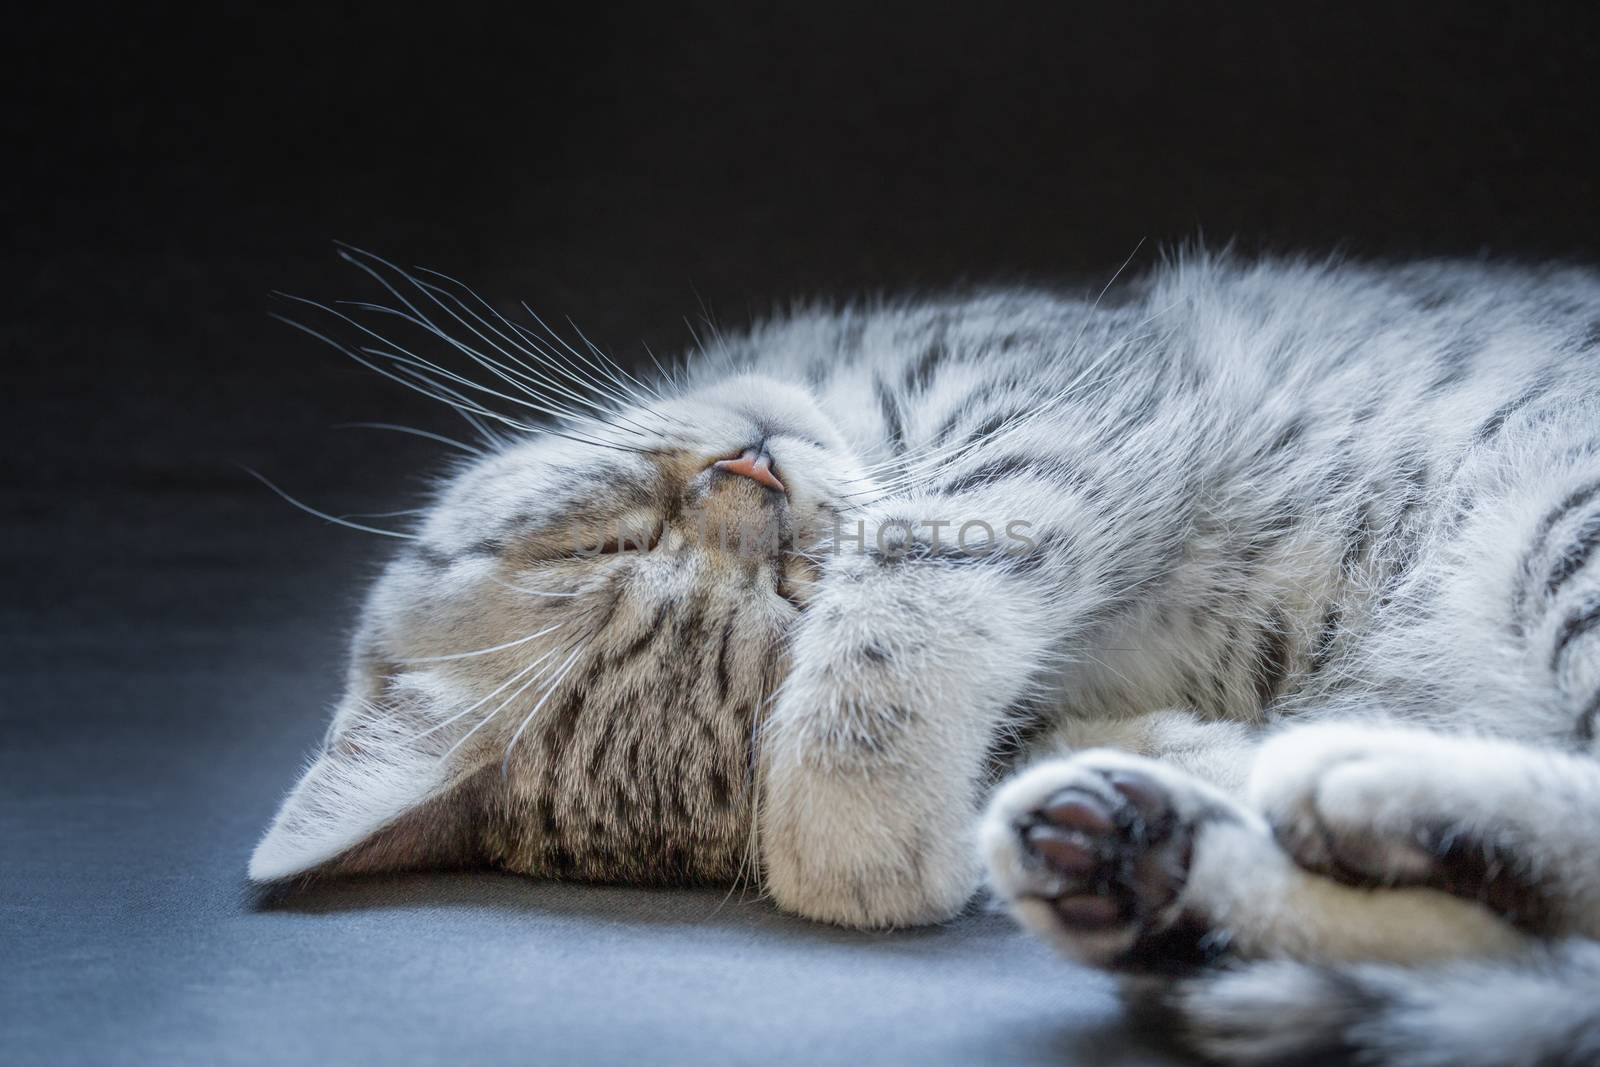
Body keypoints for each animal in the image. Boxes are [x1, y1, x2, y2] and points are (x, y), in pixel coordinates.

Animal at [249, 246, 1600, 1062]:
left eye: (610, 536)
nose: (753, 477)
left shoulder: (1040, 392)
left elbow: (918, 568)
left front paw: (855, 821)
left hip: (1556, 507)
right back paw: (1152, 853)